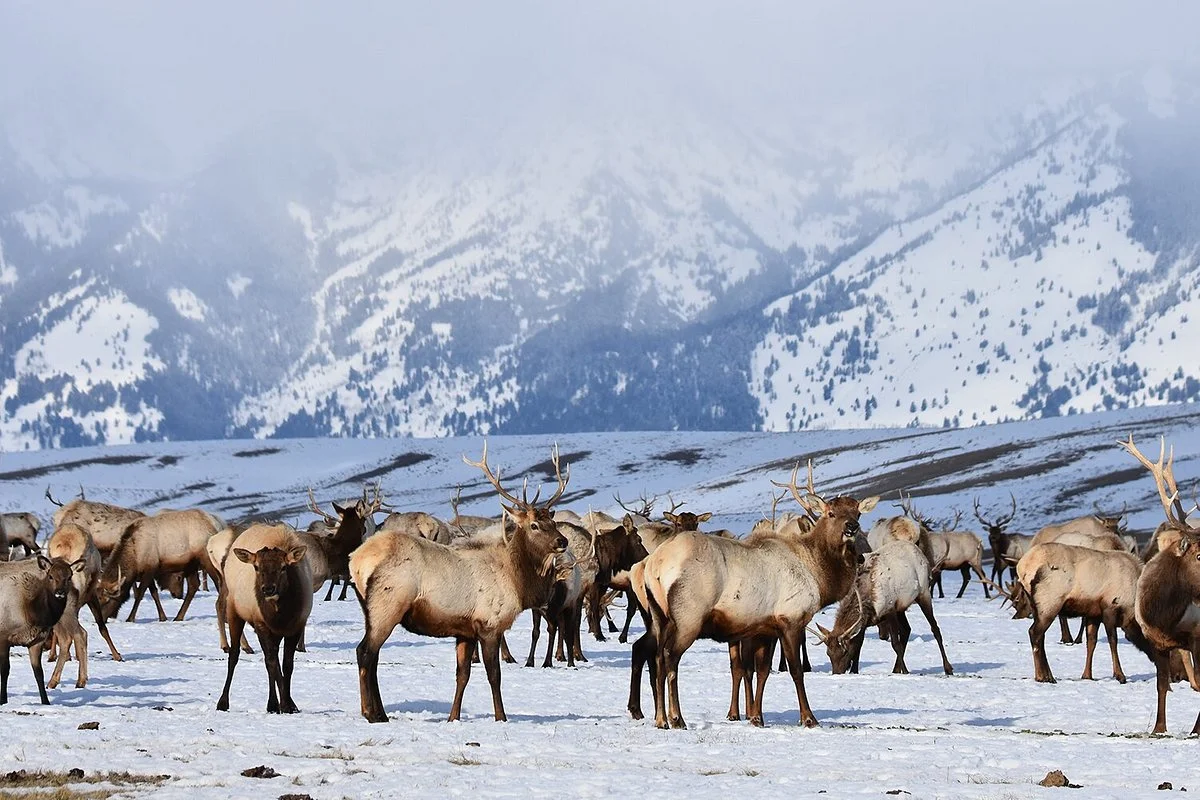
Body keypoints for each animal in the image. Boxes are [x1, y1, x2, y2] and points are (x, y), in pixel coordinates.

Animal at [216, 524, 312, 713]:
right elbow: (273, 663)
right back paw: (223, 702)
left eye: (283, 567)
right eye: (257, 567)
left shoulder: (296, 626)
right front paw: (285, 704)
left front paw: (289, 703)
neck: (281, 615)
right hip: (234, 611)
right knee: (234, 655)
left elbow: (287, 665)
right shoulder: (261, 624)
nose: (268, 589)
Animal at [352, 442, 571, 722]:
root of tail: (356, 560)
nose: (562, 541)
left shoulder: (465, 631)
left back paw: (379, 712)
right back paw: (372, 713)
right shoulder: (490, 624)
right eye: (534, 525)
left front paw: (453, 717)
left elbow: (462, 676)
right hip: (387, 603)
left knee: (373, 655)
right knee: (365, 652)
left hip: (372, 610)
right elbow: (494, 676)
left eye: (552, 522)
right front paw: (501, 717)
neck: (517, 581)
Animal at [630, 461, 879, 729]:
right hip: (688, 616)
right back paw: (676, 718)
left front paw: (756, 716)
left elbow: (762, 672)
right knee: (669, 657)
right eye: (831, 513)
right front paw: (808, 718)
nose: (852, 528)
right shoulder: (790, 619)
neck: (818, 575)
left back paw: (660, 718)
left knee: (656, 657)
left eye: (857, 513)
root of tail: (653, 565)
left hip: (659, 616)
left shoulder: (764, 629)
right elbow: (796, 671)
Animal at [1119, 435, 1200, 734]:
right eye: (1199, 555)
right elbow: (1161, 685)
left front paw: (1196, 729)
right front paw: (1159, 727)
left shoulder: (1197, 637)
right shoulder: (1158, 644)